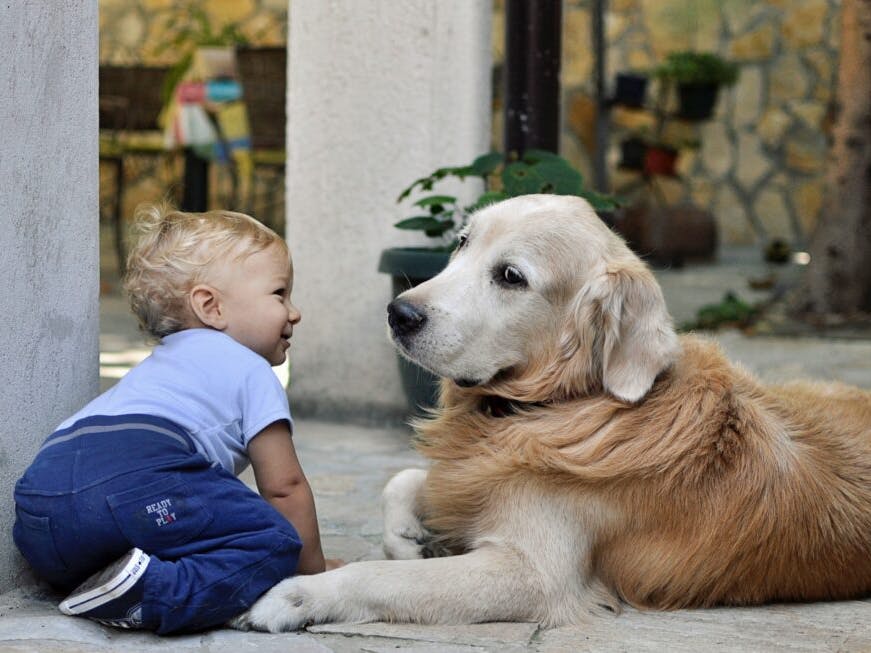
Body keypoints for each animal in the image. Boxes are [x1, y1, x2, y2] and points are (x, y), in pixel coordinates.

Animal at [232, 194, 871, 632]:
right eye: (462, 242)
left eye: (511, 276)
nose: (399, 313)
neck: (556, 405)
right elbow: (405, 480)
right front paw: (413, 536)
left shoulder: (535, 575)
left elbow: (379, 574)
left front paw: (295, 595)